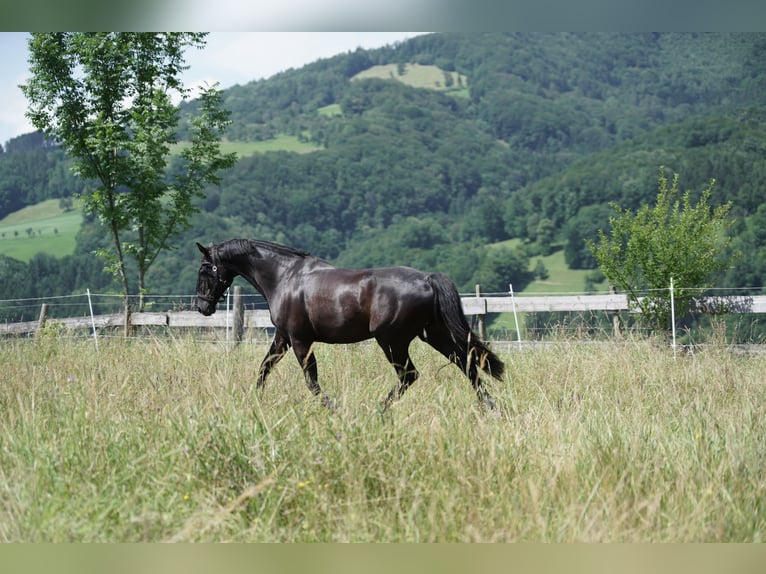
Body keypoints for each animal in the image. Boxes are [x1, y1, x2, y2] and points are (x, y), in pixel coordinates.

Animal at [196, 241, 504, 412]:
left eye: (204, 269)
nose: (202, 307)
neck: (284, 277)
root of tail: (427, 279)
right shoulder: (283, 338)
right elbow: (264, 368)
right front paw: (254, 399)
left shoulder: (300, 340)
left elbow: (311, 380)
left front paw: (333, 407)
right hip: (433, 334)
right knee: (465, 363)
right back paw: (490, 406)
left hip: (392, 341)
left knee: (410, 375)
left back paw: (379, 409)